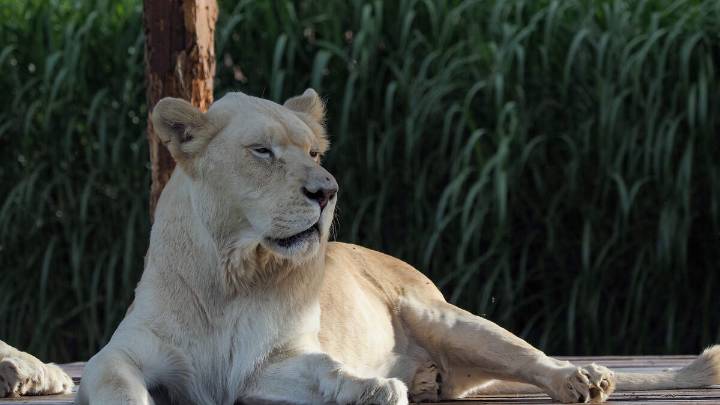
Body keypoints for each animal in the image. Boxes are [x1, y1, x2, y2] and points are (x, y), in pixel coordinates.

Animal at [2, 90, 718, 404]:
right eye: (263, 152)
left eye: (315, 153)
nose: (327, 191)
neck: (234, 274)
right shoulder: (126, 355)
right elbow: (118, 383)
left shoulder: (275, 359)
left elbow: (324, 369)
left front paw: (372, 387)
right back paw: (428, 381)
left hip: (446, 317)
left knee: (532, 357)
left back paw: (582, 378)